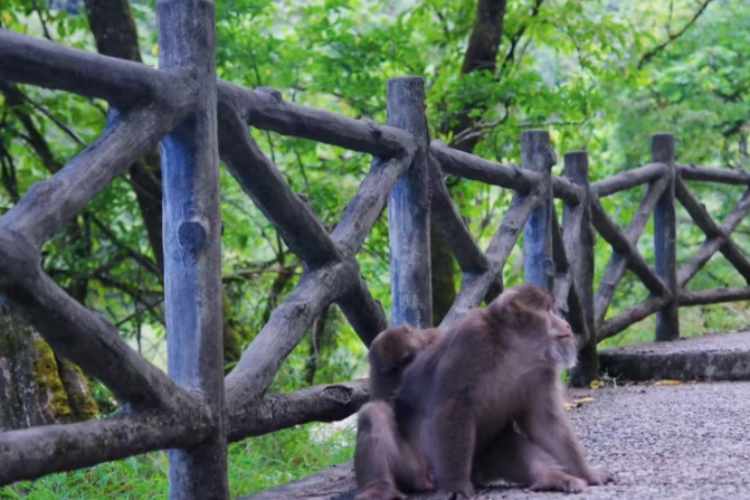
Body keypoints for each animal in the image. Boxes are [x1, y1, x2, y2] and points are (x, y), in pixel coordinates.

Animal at [354, 284, 613, 499]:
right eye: (549, 310)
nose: (567, 325)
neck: (513, 349)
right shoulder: (471, 340)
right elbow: (453, 407)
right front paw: (456, 487)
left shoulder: (543, 367)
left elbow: (544, 422)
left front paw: (586, 473)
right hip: (413, 466)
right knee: (373, 413)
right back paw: (380, 489)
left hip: (481, 461)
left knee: (508, 441)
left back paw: (553, 478)